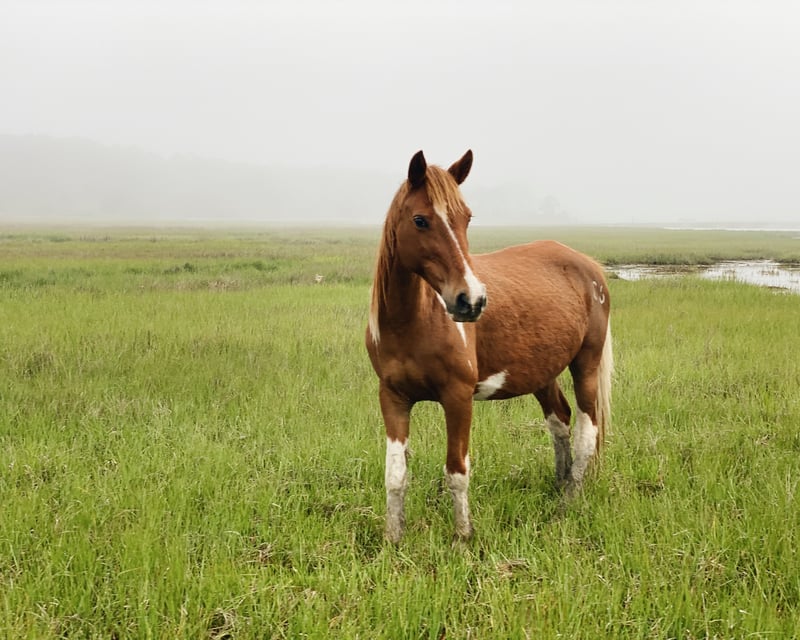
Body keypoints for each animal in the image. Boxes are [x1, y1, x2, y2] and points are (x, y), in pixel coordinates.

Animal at [366, 150, 613, 543]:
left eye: (466, 218)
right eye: (420, 220)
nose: (472, 301)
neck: (413, 322)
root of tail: (589, 266)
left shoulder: (458, 397)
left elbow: (456, 471)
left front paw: (462, 538)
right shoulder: (393, 397)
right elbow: (395, 475)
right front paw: (393, 539)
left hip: (585, 365)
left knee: (586, 432)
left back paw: (568, 501)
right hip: (542, 373)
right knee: (560, 420)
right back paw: (559, 485)